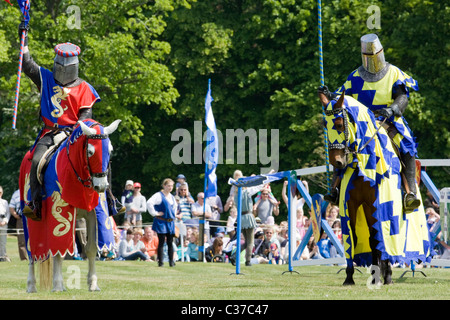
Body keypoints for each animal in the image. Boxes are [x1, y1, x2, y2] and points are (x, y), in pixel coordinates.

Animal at [19, 118, 119, 292]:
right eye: (90, 152)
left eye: (111, 150)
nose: (100, 186)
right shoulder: (61, 213)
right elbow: (60, 251)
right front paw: (58, 285)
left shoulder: (93, 214)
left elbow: (90, 248)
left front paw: (93, 284)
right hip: (29, 219)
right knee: (32, 251)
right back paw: (31, 285)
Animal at [318, 90, 434, 284]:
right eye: (326, 126)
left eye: (340, 124)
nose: (337, 162)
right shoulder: (352, 204)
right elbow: (354, 238)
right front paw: (349, 277)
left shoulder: (378, 204)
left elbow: (377, 239)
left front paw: (381, 276)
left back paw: (386, 274)